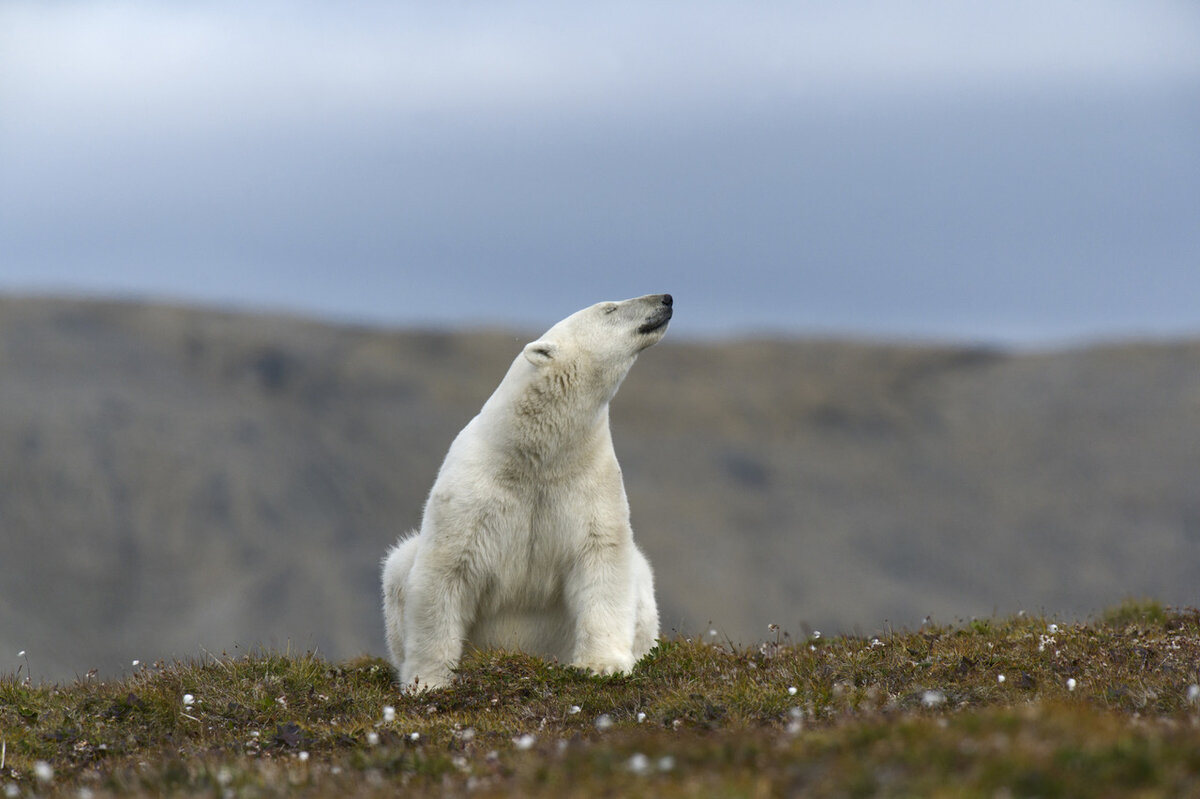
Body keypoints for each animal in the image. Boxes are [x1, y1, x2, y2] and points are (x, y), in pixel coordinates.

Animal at [379, 293, 672, 691]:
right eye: (609, 308)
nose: (666, 299)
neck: (534, 458)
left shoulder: (590, 482)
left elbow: (601, 559)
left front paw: (603, 665)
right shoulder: (471, 494)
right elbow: (445, 573)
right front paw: (429, 681)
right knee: (399, 564)